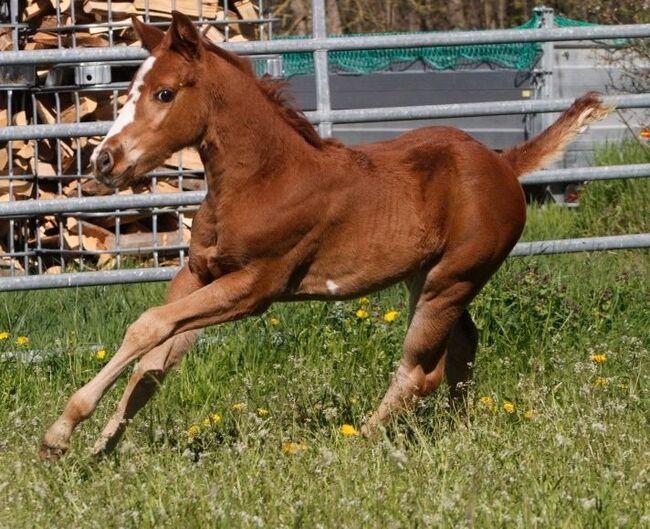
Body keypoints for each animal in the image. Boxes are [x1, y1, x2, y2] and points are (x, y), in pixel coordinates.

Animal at [40, 11, 608, 458]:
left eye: (164, 93)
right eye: (129, 90)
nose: (103, 161)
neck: (262, 179)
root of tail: (504, 165)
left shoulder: (254, 288)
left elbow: (148, 327)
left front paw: (61, 433)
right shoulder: (198, 274)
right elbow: (154, 363)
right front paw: (99, 448)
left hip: (450, 280)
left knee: (419, 370)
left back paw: (357, 442)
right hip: (429, 277)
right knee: (463, 347)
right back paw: (458, 425)